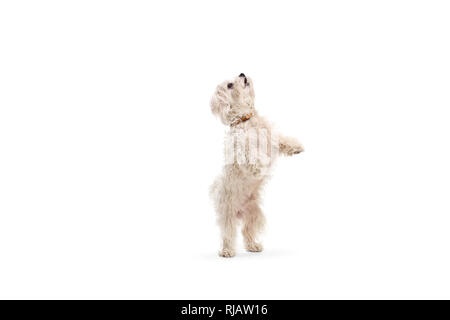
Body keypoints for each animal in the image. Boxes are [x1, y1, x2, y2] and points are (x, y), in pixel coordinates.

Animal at [209, 73, 304, 258]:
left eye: (236, 77)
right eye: (230, 85)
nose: (242, 74)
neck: (246, 120)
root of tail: (239, 212)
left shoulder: (271, 138)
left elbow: (283, 140)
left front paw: (296, 147)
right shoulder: (241, 148)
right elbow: (252, 156)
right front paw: (260, 168)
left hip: (254, 214)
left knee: (247, 231)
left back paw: (253, 245)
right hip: (227, 215)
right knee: (228, 234)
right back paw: (227, 251)